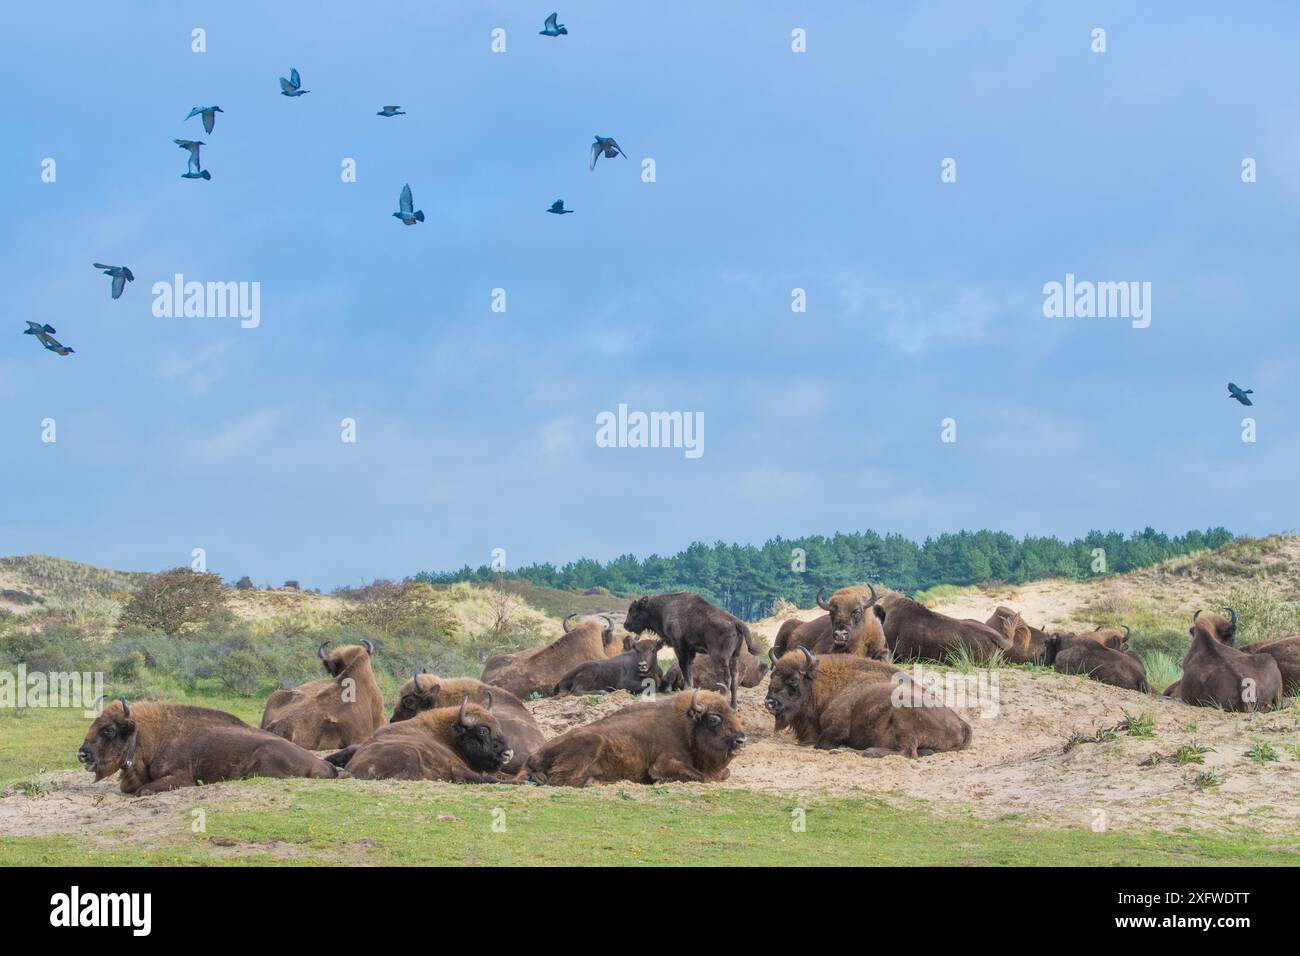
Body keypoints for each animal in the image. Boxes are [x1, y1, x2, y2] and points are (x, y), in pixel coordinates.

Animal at [79, 698, 336, 795]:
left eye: (109, 730)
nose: (82, 754)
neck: (154, 735)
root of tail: (323, 764)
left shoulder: (181, 777)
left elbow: (144, 790)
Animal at [328, 696, 516, 782]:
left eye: (498, 726)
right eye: (483, 730)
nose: (508, 753)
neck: (449, 737)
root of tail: (350, 769)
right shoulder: (458, 767)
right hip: (410, 753)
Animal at [523, 689, 746, 786]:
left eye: (735, 715)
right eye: (714, 719)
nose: (741, 740)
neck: (687, 728)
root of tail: (533, 756)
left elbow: (724, 774)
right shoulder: (661, 764)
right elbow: (701, 777)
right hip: (593, 742)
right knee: (558, 779)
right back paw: (593, 781)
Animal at [623, 592, 760, 707]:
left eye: (634, 610)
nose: (626, 625)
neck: (663, 608)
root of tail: (735, 622)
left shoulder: (679, 647)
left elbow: (684, 669)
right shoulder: (690, 650)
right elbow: (689, 671)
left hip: (719, 657)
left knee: (726, 679)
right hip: (734, 657)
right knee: (734, 680)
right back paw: (734, 706)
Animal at [763, 648, 970, 757]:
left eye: (793, 680)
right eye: (773, 676)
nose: (770, 702)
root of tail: (961, 722)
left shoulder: (835, 729)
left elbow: (820, 743)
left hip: (904, 715)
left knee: (906, 751)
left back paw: (864, 751)